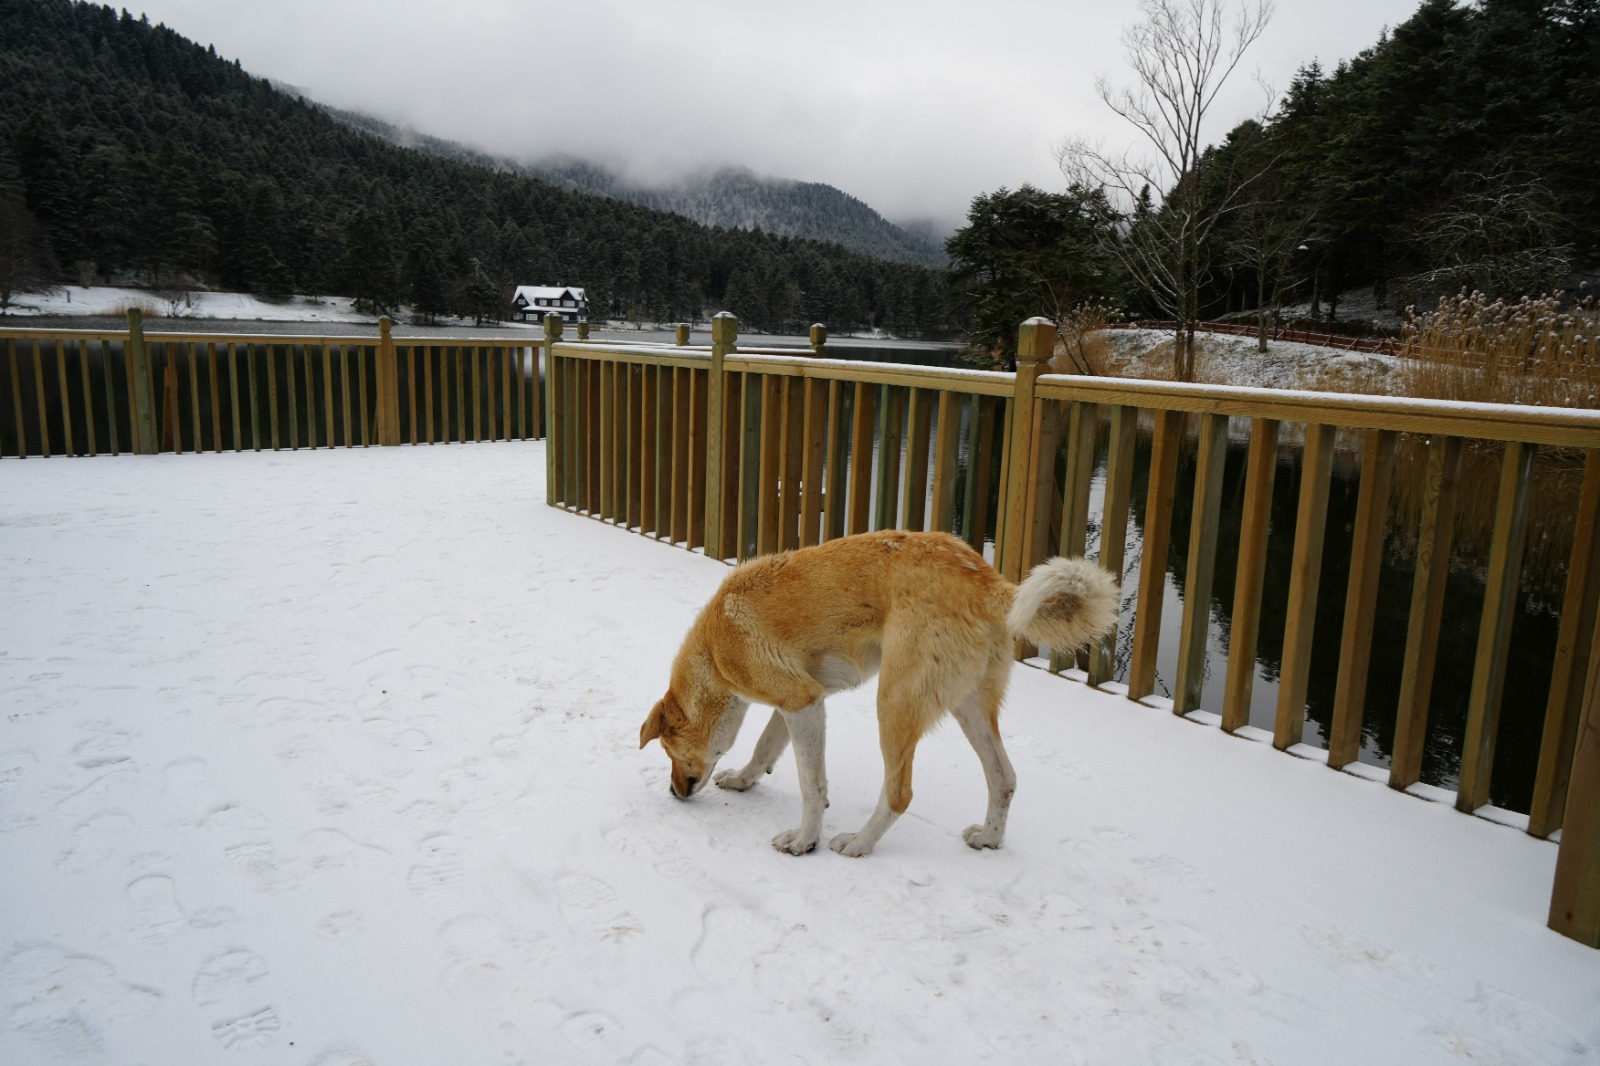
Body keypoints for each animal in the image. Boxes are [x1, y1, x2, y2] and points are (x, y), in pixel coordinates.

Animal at [636, 531, 1113, 857]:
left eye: (668, 751)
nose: (674, 793)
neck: (715, 649)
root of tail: (987, 579)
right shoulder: (802, 700)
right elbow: (764, 748)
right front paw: (742, 780)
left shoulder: (801, 701)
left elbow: (811, 785)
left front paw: (805, 840)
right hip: (969, 708)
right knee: (1004, 778)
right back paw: (989, 838)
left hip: (894, 705)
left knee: (900, 793)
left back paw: (859, 844)